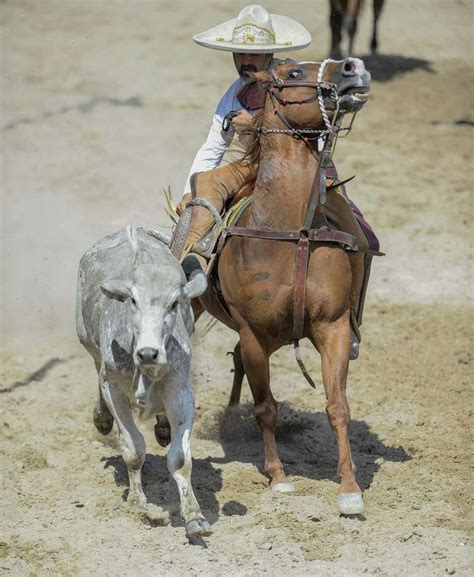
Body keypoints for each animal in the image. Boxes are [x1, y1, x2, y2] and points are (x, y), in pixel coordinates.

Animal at [76, 225, 211, 536]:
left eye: (174, 303)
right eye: (133, 301)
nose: (149, 352)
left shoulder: (179, 389)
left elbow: (180, 459)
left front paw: (195, 517)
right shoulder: (112, 387)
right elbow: (133, 449)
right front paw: (136, 502)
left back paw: (162, 426)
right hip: (88, 344)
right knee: (96, 368)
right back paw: (102, 418)